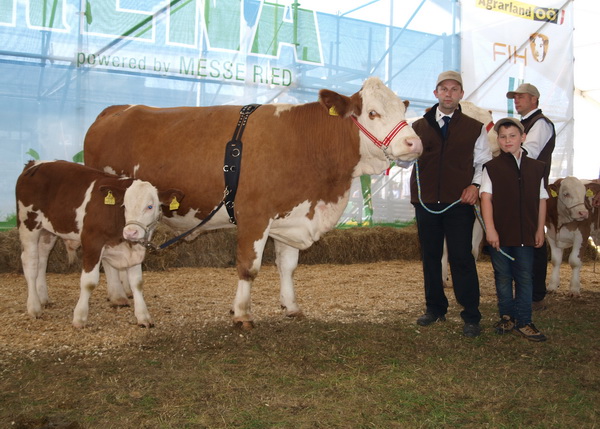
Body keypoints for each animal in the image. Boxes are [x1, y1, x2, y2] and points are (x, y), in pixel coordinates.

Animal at [17, 160, 184, 328]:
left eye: (150, 206)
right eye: (124, 206)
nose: (130, 232)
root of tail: (35, 163)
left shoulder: (136, 250)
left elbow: (137, 283)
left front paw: (143, 316)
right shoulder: (92, 242)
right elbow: (89, 282)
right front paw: (79, 317)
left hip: (47, 232)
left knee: (42, 260)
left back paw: (43, 298)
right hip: (28, 225)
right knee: (30, 263)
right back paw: (34, 307)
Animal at [83, 77, 422, 326]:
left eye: (402, 111)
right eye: (372, 113)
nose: (414, 143)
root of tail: (115, 110)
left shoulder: (293, 215)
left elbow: (288, 266)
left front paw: (291, 306)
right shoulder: (254, 216)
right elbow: (249, 267)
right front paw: (242, 313)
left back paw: (122, 294)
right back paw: (117, 295)